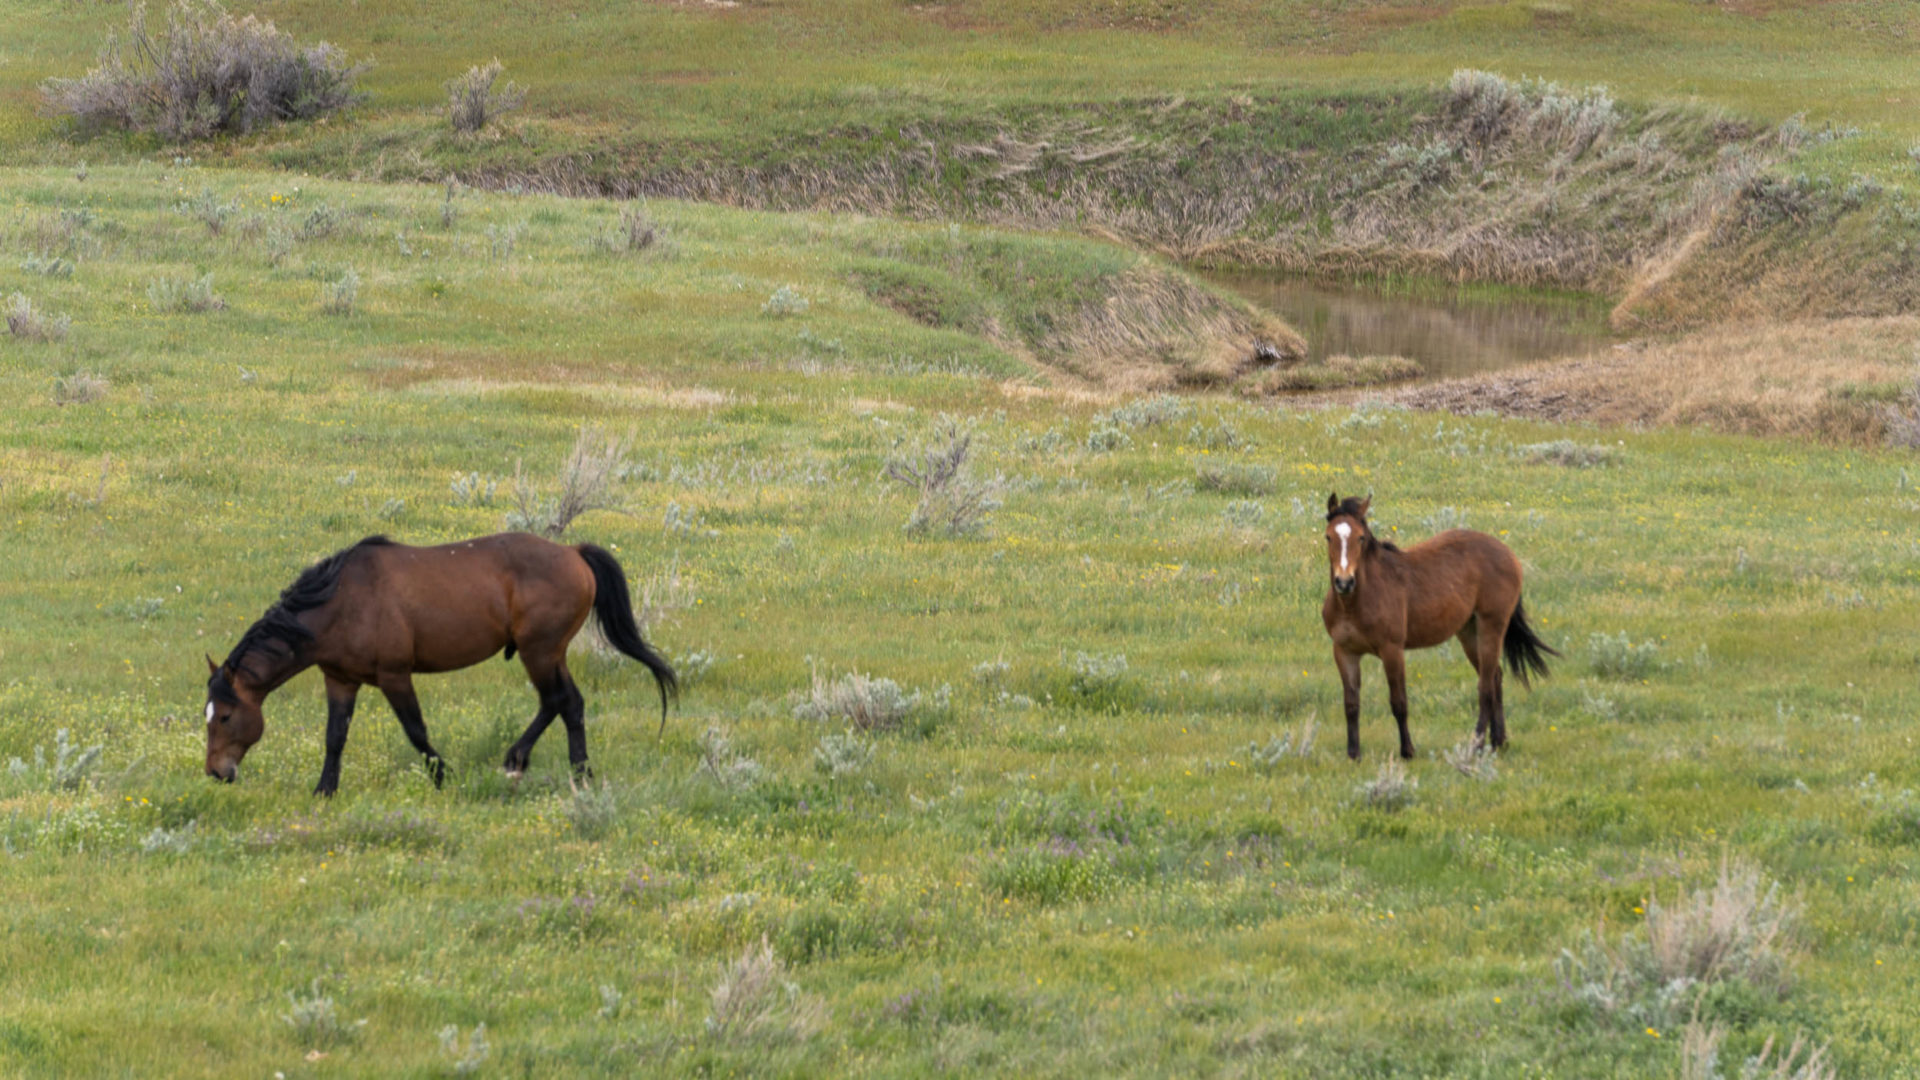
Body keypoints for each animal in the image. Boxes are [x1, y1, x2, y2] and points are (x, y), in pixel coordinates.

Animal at [203, 533, 677, 795]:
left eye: (224, 716)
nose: (215, 772)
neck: (341, 601)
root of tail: (573, 552)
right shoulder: (340, 680)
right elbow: (334, 737)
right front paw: (324, 790)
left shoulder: (394, 676)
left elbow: (416, 731)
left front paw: (443, 775)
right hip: (547, 653)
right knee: (565, 704)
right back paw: (553, 766)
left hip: (540, 651)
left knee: (560, 701)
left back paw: (553, 767)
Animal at [1320, 493, 1558, 760]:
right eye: (1329, 536)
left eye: (1360, 537)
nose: (1344, 582)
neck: (1354, 604)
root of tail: (1508, 553)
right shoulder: (1344, 652)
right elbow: (1351, 705)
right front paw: (1353, 754)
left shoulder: (1392, 650)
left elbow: (1399, 702)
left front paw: (1407, 751)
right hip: (1469, 632)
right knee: (1495, 677)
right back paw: (1498, 742)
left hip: (1491, 626)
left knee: (1486, 686)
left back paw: (1476, 745)